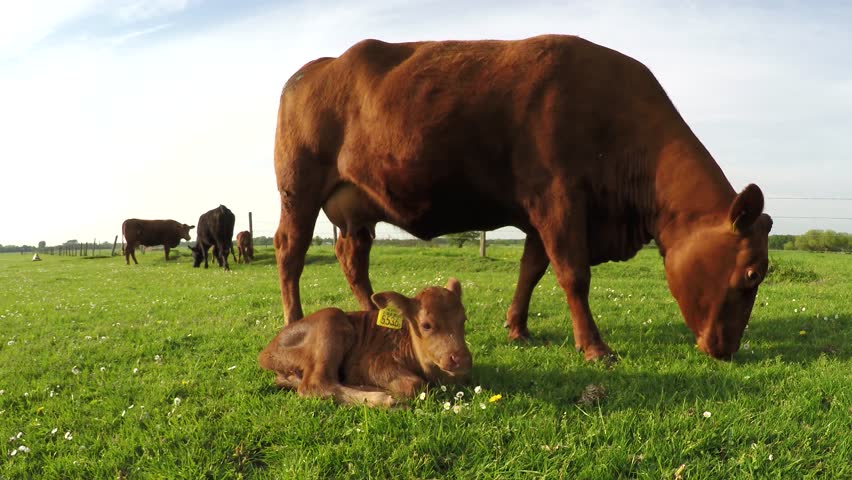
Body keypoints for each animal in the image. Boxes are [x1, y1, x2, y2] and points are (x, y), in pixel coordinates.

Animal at [260, 278, 472, 404]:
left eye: (464, 319)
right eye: (426, 325)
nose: (461, 359)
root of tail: (266, 352)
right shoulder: (371, 363)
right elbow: (415, 384)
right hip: (330, 320)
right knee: (314, 384)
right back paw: (383, 398)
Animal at [272, 34, 772, 360]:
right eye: (751, 274)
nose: (726, 350)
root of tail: (313, 68)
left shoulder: (540, 215)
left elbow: (531, 270)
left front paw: (518, 329)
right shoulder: (559, 198)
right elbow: (573, 274)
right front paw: (595, 347)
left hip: (355, 209)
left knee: (353, 261)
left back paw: (374, 317)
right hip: (298, 190)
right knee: (290, 252)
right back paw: (293, 321)